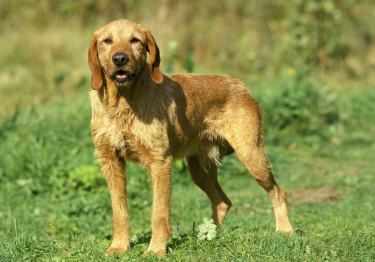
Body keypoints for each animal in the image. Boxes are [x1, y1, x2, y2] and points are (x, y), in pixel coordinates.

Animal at [88, 19, 294, 256]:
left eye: (135, 40)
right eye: (107, 41)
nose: (120, 58)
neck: (121, 104)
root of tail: (241, 85)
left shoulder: (160, 161)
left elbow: (159, 212)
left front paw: (156, 249)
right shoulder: (110, 160)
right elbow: (119, 211)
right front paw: (119, 246)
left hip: (251, 156)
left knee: (278, 192)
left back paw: (285, 231)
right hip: (199, 170)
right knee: (222, 201)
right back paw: (208, 235)